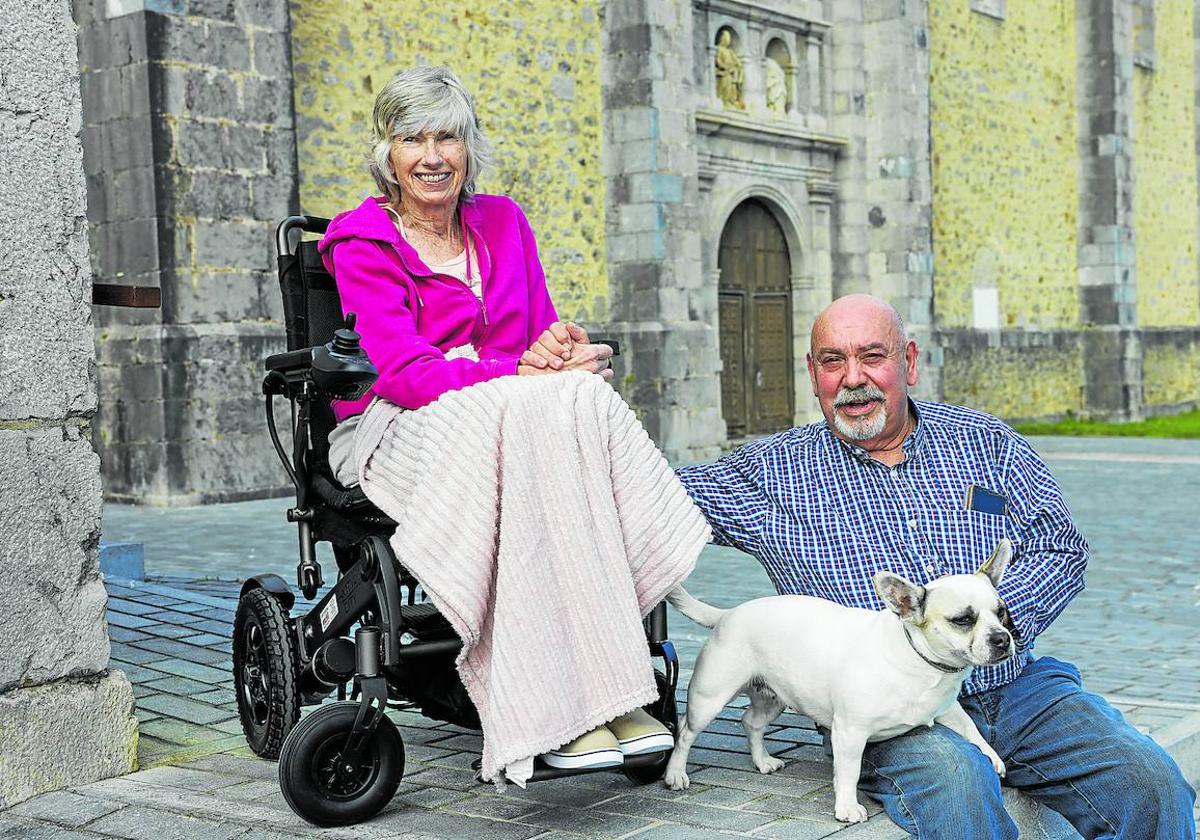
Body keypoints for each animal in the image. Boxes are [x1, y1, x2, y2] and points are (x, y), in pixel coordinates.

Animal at [662, 537, 1017, 820]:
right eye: (962, 620)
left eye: (1002, 612)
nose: (1003, 638)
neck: (919, 661)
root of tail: (727, 614)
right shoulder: (850, 732)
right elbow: (849, 772)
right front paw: (847, 808)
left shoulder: (947, 709)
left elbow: (971, 730)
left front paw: (991, 756)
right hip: (709, 698)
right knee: (685, 733)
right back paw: (675, 773)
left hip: (773, 697)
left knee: (751, 722)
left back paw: (762, 761)